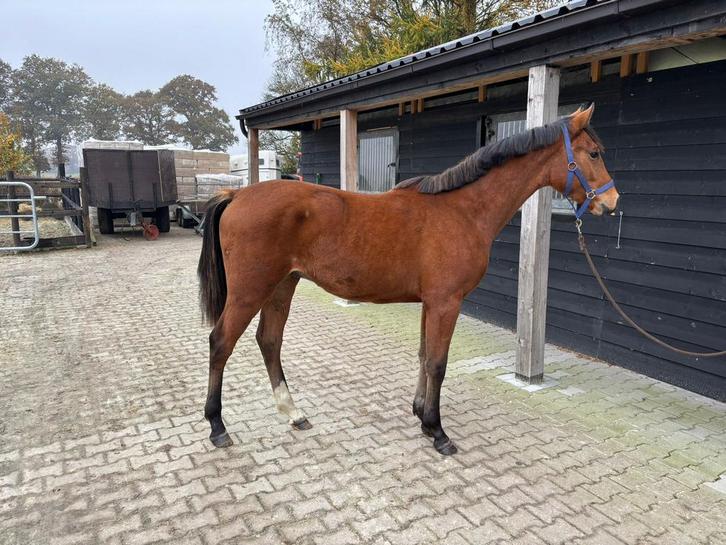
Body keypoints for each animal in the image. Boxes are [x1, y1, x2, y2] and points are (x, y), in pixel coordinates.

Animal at [197, 104, 619, 455]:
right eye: (594, 153)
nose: (611, 202)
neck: (463, 210)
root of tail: (236, 195)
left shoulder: (431, 302)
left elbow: (423, 356)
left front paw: (420, 415)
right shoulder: (447, 302)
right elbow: (438, 363)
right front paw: (438, 431)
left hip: (283, 285)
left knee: (269, 341)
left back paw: (293, 413)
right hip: (250, 291)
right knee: (220, 343)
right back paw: (217, 426)